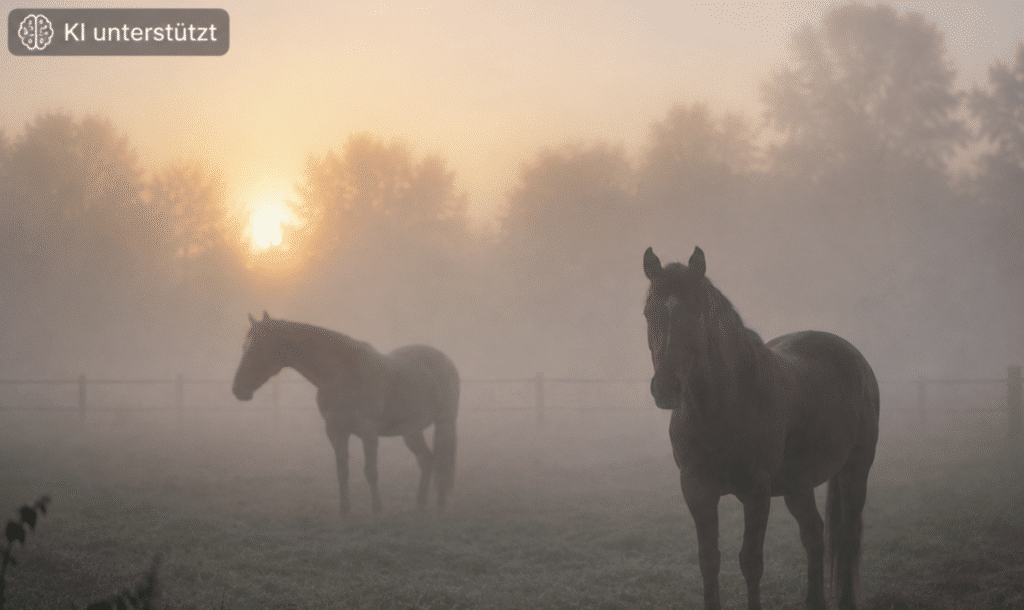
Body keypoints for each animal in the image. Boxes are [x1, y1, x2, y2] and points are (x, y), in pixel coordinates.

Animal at [231, 312, 460, 516]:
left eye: (260, 347)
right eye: (244, 347)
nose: (237, 390)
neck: (343, 373)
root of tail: (445, 360)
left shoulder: (368, 431)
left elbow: (371, 471)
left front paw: (377, 509)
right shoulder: (335, 430)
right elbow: (342, 471)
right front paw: (344, 510)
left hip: (444, 422)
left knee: (441, 462)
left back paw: (440, 505)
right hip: (411, 430)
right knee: (427, 460)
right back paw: (420, 504)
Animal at [642, 247, 879, 610]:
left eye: (697, 312)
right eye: (647, 313)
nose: (666, 388)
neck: (723, 406)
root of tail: (857, 360)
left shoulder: (756, 491)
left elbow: (751, 561)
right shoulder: (696, 489)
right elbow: (708, 560)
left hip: (855, 471)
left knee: (847, 538)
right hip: (798, 484)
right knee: (814, 535)